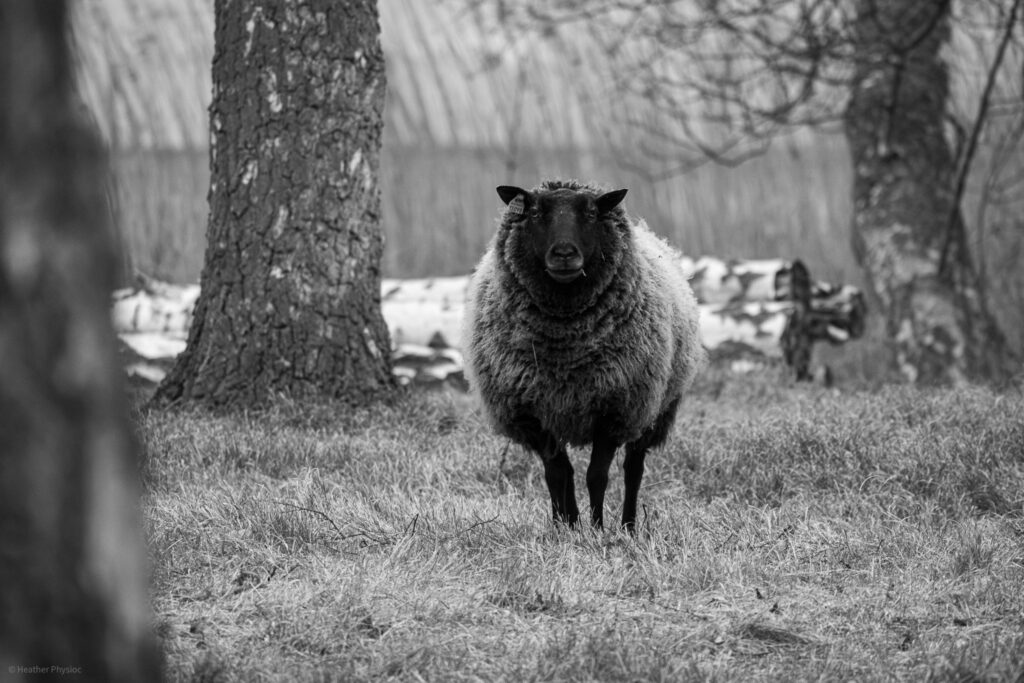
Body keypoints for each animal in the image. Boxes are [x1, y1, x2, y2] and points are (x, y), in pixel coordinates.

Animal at [464, 179, 704, 532]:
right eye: (534, 212)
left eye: (591, 213)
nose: (564, 254)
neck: (566, 352)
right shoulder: (535, 412)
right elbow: (557, 474)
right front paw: (564, 526)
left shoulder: (613, 408)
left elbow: (597, 476)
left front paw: (597, 528)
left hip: (653, 407)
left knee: (633, 469)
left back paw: (628, 526)